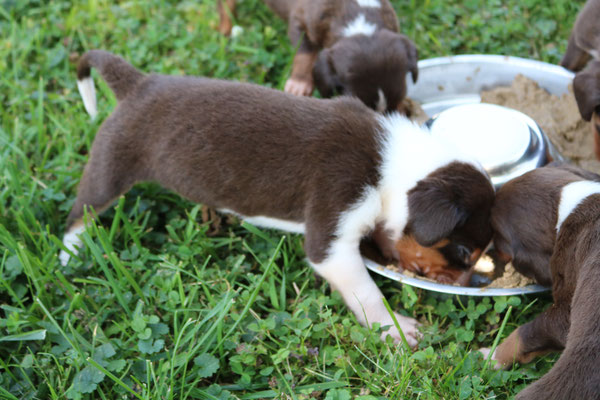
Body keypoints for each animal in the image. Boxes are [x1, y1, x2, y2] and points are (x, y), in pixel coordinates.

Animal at [61, 50, 494, 348]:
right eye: (462, 251)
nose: (476, 286)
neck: (391, 162)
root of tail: (138, 83)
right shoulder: (333, 233)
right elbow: (366, 290)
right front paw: (395, 328)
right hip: (110, 167)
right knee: (78, 215)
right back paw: (72, 255)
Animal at [218, 0, 420, 114]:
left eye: (397, 102)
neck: (359, 25)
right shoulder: (299, 22)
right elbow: (304, 53)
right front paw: (299, 84)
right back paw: (226, 26)